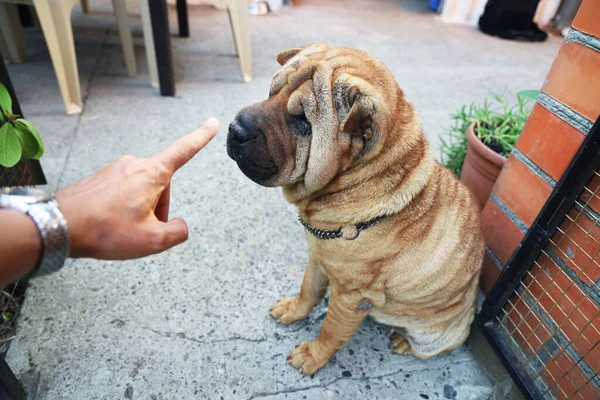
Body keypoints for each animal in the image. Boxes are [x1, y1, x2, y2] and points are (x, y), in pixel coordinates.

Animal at [225, 44, 482, 376]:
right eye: (272, 91)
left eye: (302, 121)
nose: (235, 128)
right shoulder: (318, 258)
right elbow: (309, 290)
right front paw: (294, 310)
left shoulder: (352, 297)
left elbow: (331, 330)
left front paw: (312, 356)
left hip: (435, 337)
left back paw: (404, 342)